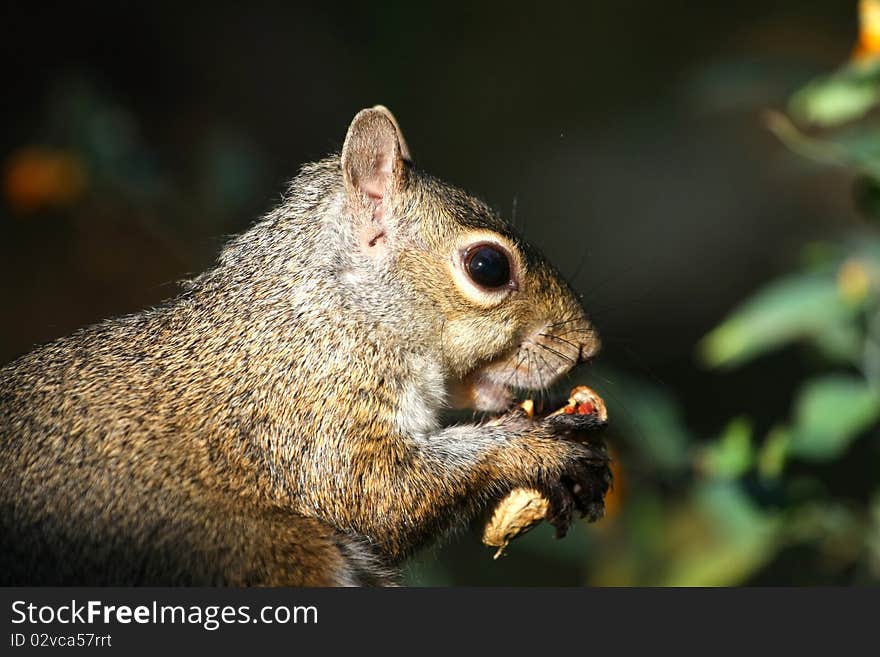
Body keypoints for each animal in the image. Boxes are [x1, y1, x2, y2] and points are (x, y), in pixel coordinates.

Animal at [0, 107, 612, 584]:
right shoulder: (308, 415)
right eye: (487, 266)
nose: (587, 346)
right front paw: (535, 445)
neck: (323, 317)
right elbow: (377, 494)